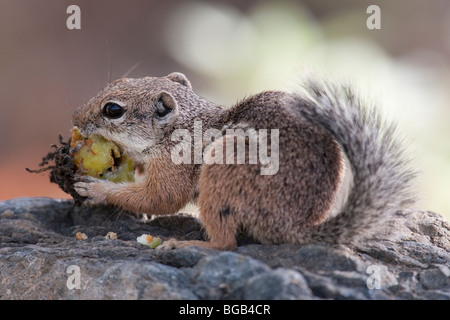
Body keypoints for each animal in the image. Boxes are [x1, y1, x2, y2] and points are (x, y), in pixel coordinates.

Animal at [73, 72, 414, 250]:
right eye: (120, 80)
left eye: (113, 110)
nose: (76, 119)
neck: (182, 126)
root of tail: (291, 226)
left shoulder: (175, 166)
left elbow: (162, 198)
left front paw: (97, 190)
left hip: (227, 165)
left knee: (225, 244)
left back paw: (190, 245)